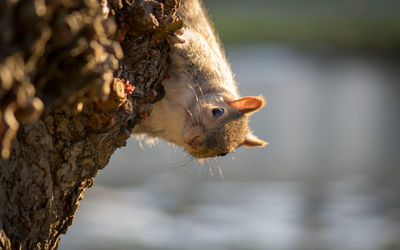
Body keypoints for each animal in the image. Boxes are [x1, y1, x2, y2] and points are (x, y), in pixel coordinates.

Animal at [133, 0, 268, 158]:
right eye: (217, 111)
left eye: (224, 153)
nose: (194, 141)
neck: (182, 110)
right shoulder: (205, 62)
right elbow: (190, 47)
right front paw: (178, 40)